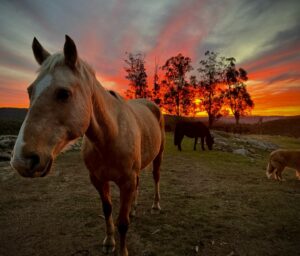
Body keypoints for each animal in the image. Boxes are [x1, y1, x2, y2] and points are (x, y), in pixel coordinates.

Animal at [9, 35, 164, 255]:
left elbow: (122, 223)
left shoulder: (126, 182)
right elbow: (107, 209)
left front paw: (122, 250)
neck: (110, 136)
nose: (22, 161)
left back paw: (156, 206)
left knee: (156, 177)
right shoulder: (98, 180)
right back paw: (134, 209)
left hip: (158, 156)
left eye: (63, 93)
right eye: (30, 91)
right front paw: (109, 242)